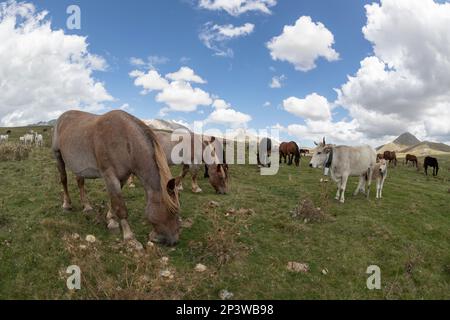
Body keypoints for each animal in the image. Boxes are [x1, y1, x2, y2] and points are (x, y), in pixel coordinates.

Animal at [51, 111, 181, 249]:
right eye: (171, 211)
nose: (174, 241)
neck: (125, 140)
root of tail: (62, 117)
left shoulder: (122, 177)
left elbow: (114, 201)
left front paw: (111, 219)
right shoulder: (110, 175)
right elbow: (121, 207)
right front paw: (130, 238)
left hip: (79, 166)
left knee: (80, 182)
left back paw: (86, 206)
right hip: (58, 156)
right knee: (64, 180)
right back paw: (66, 204)